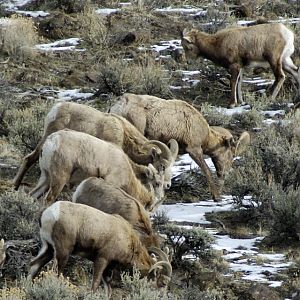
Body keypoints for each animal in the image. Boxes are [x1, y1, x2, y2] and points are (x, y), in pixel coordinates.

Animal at [29, 200, 173, 292]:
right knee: (55, 272)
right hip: (62, 253)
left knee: (34, 264)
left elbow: (107, 288)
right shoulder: (102, 259)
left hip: (48, 248)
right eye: (163, 283)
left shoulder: (108, 268)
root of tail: (47, 213)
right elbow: (95, 283)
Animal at [30, 129, 164, 211]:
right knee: (48, 199)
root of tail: (50, 141)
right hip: (59, 179)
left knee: (33, 195)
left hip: (45, 178)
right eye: (157, 183)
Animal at [109, 94, 250, 202]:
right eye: (231, 154)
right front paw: (216, 197)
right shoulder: (194, 150)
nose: (224, 174)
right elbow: (207, 171)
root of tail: (119, 105)